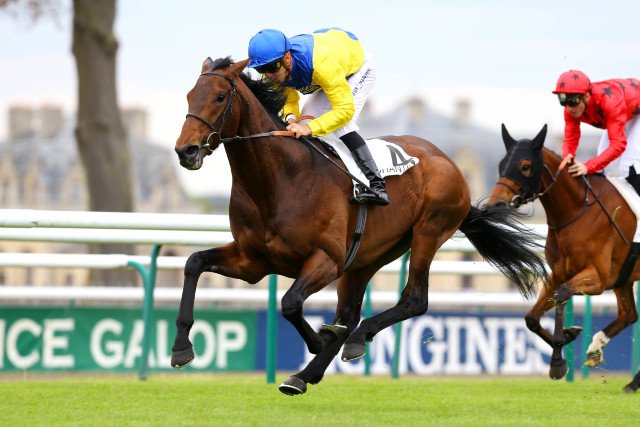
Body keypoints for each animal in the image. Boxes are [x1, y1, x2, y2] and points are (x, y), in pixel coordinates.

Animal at [172, 56, 548, 395]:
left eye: (220, 96)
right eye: (189, 96)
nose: (185, 150)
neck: (280, 179)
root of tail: (449, 162)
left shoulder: (327, 260)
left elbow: (290, 303)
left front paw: (318, 339)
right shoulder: (253, 262)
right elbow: (194, 262)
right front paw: (181, 348)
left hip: (428, 232)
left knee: (413, 300)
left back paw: (350, 341)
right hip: (369, 255)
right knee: (351, 312)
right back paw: (310, 371)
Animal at [488, 124, 639, 382]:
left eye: (525, 166)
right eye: (501, 164)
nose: (494, 205)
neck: (577, 211)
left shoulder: (598, 278)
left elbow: (562, 294)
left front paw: (558, 358)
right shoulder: (559, 272)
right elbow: (532, 318)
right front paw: (568, 339)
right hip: (624, 280)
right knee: (629, 314)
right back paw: (602, 357)